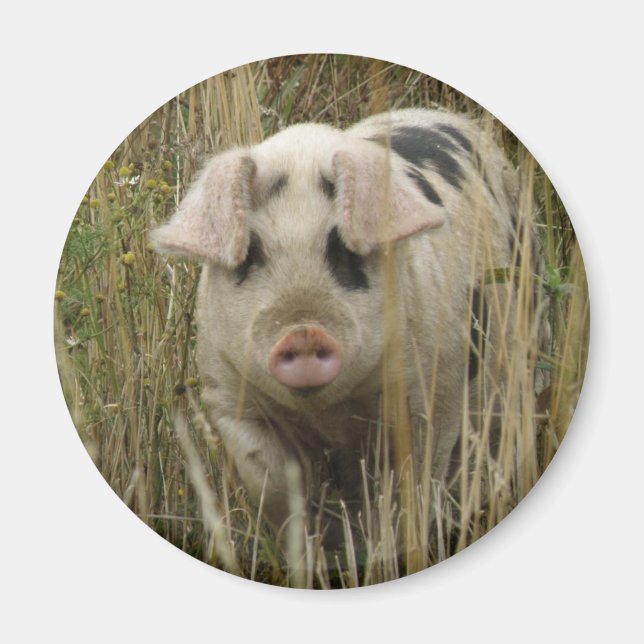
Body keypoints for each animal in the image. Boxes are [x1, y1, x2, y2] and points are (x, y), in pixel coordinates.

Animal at [151, 108, 524, 548]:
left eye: (343, 248)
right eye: (251, 253)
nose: (303, 333)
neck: (329, 416)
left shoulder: (435, 392)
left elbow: (412, 487)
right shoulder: (230, 398)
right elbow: (272, 485)